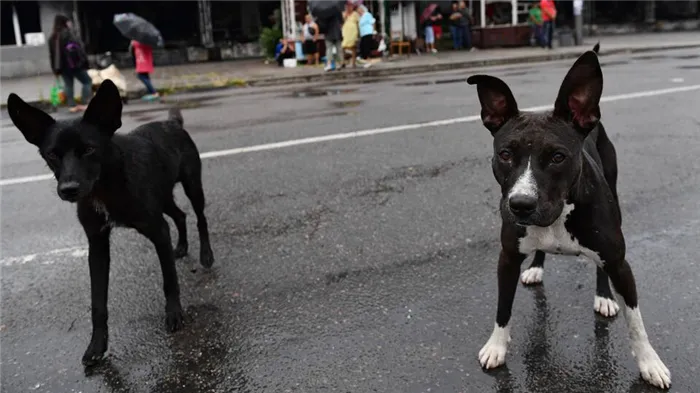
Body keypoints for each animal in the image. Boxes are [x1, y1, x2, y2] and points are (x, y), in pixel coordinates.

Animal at [6, 79, 215, 364]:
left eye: (89, 149)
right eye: (52, 154)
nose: (68, 190)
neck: (106, 187)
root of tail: (172, 122)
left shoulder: (157, 230)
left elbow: (169, 279)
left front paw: (173, 314)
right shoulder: (97, 245)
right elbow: (98, 302)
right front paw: (97, 345)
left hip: (193, 186)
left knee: (200, 218)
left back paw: (206, 255)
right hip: (163, 198)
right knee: (180, 215)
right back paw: (182, 247)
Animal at [468, 49, 668, 386]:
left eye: (558, 157)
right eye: (505, 154)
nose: (521, 205)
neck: (558, 215)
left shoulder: (619, 263)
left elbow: (636, 321)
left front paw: (649, 362)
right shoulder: (507, 258)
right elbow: (503, 307)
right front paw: (496, 346)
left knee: (601, 268)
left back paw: (604, 296)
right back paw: (536, 266)